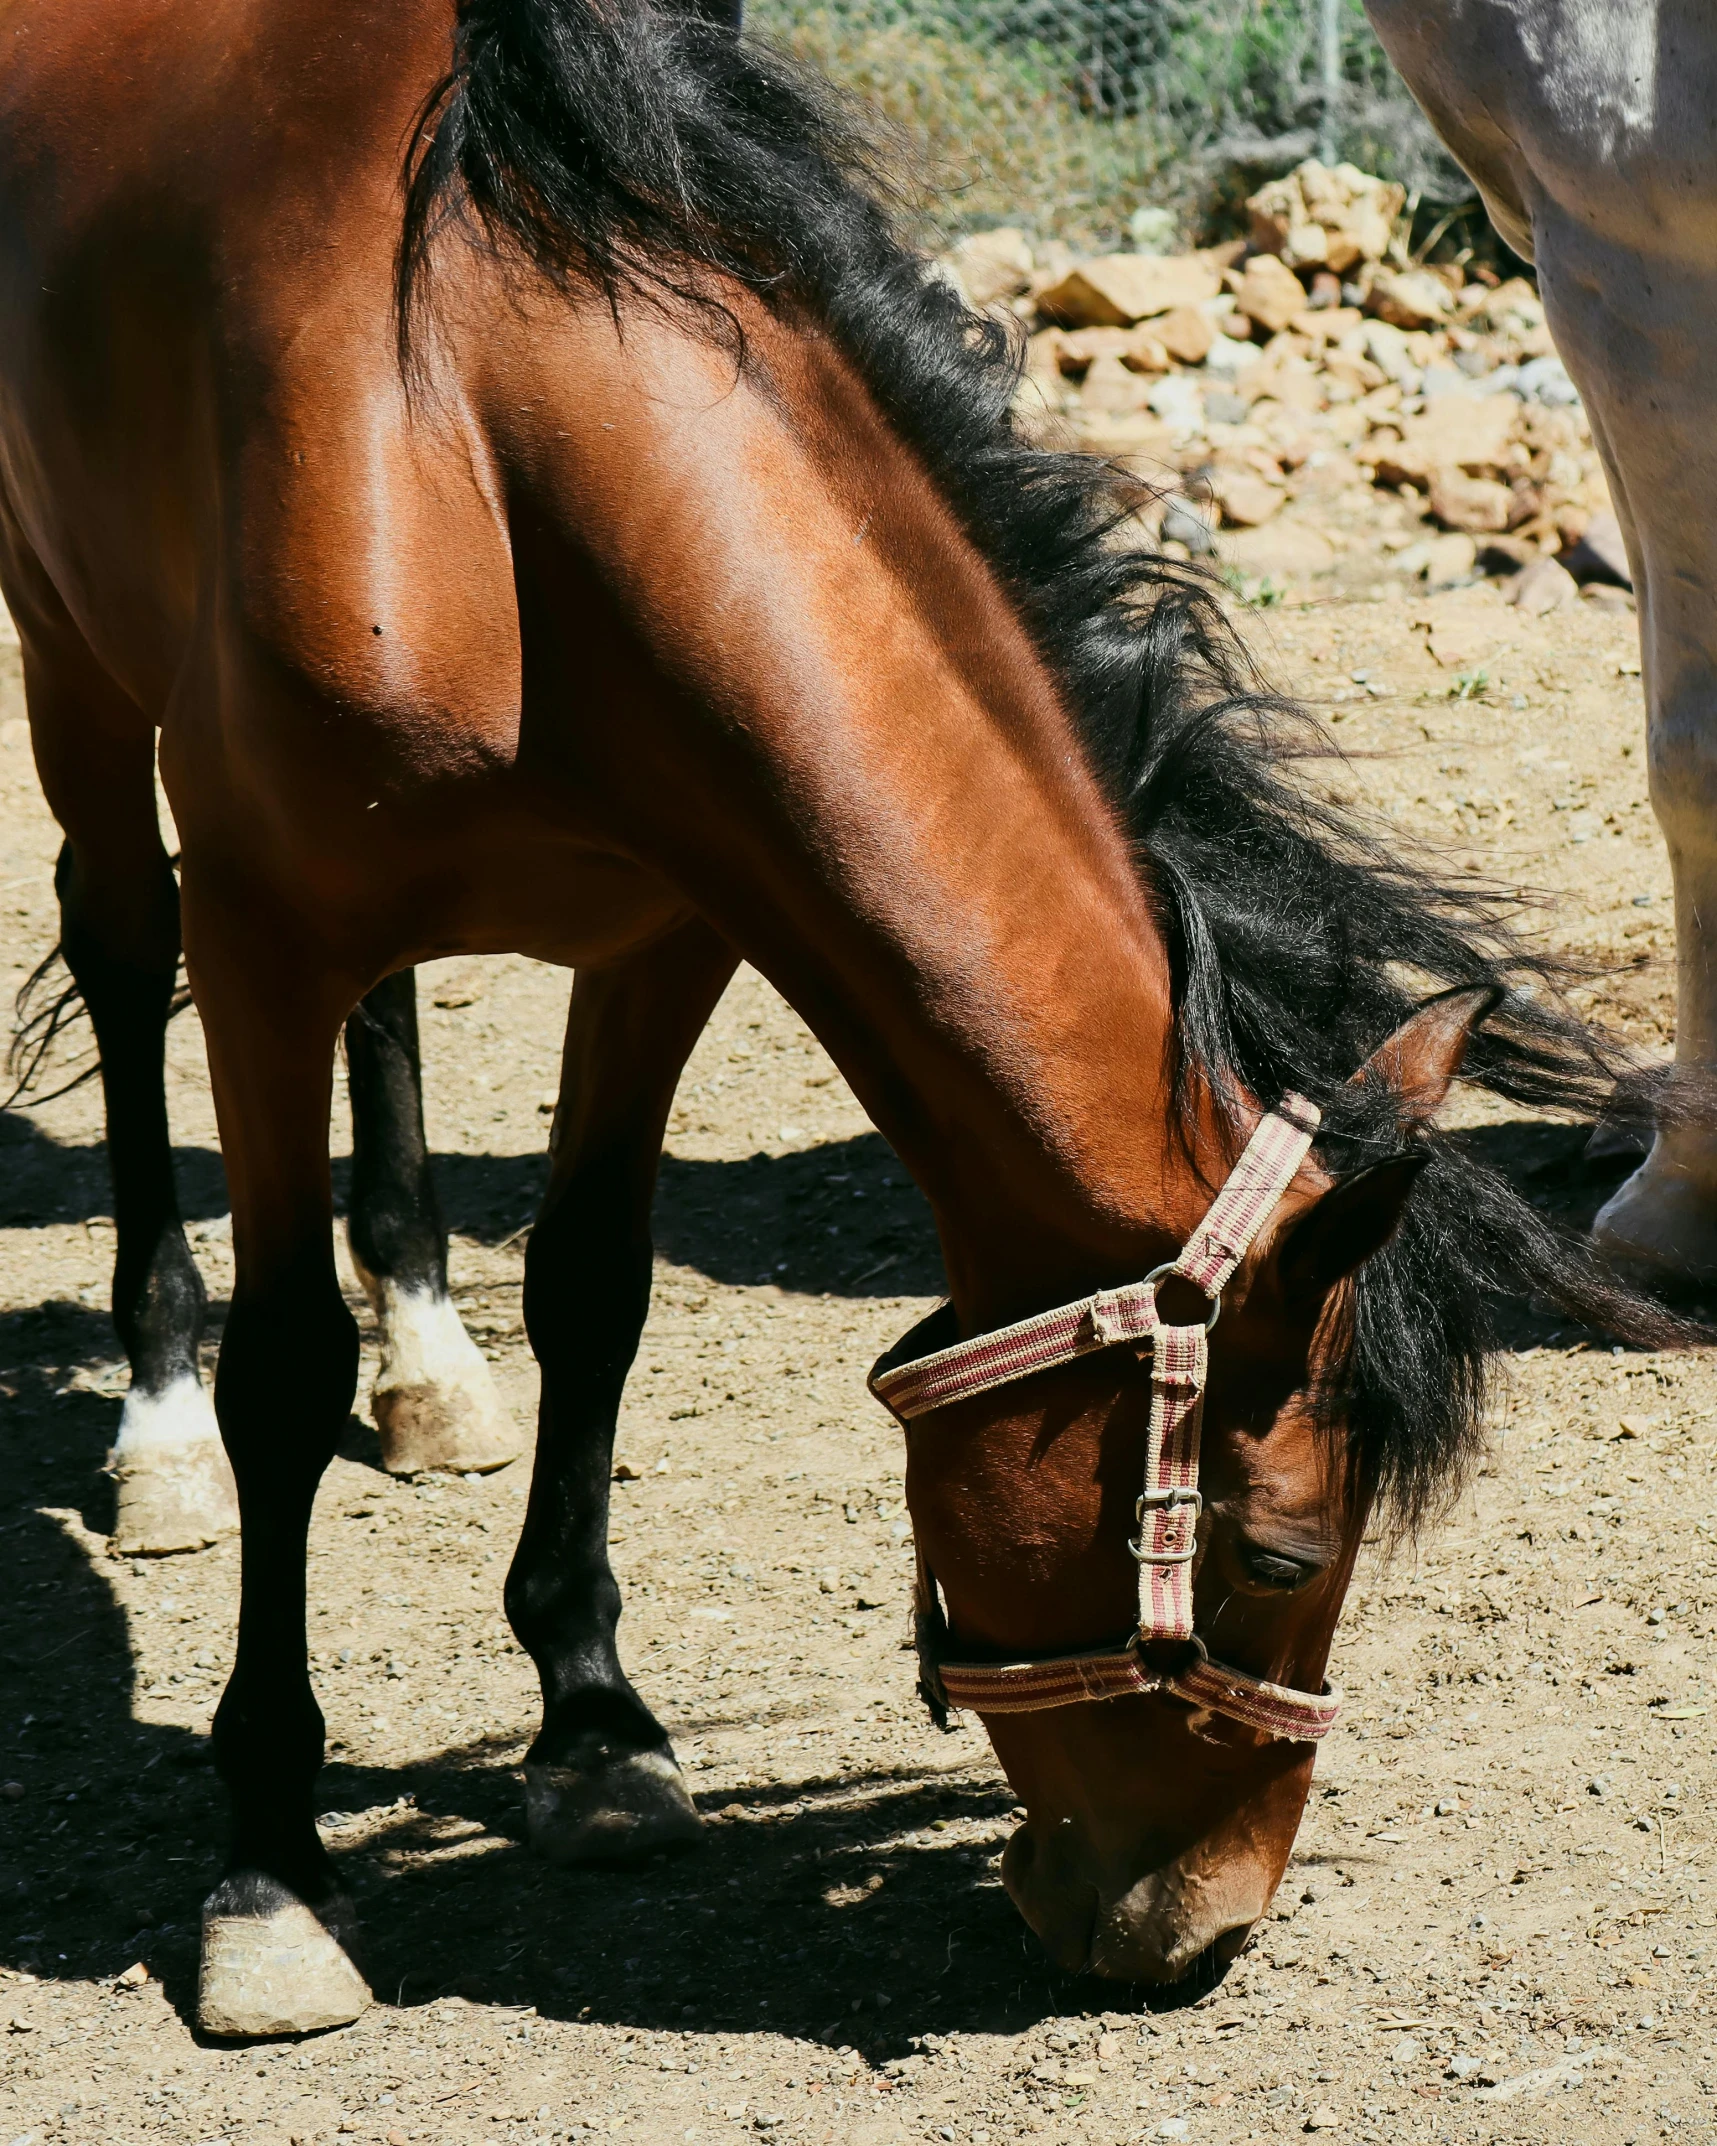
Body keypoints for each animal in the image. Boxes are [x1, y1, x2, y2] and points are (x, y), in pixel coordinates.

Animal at [0, 0, 1674, 2034]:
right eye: (1280, 1546)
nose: (1202, 1928)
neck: (472, 439)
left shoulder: (667, 931)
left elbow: (595, 1289)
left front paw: (593, 1725)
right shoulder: (264, 936)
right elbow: (279, 1367)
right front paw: (268, 1863)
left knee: (394, 1042)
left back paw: (428, 1352)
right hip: (75, 661)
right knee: (117, 952)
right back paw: (159, 1418)